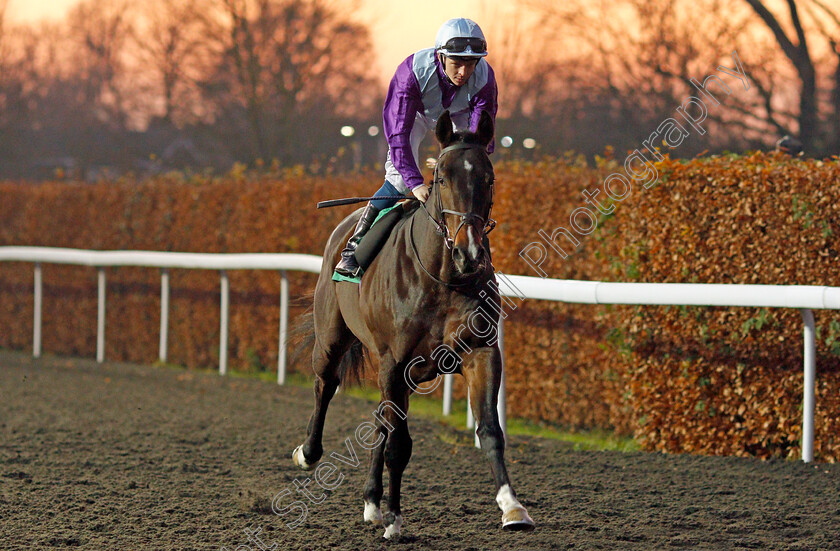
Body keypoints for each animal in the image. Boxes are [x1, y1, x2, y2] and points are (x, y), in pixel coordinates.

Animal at [292, 111, 536, 540]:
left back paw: (372, 501)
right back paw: (309, 454)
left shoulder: (480, 351)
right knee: (326, 384)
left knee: (380, 416)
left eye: (488, 178)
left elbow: (490, 431)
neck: (443, 275)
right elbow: (399, 446)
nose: (469, 252)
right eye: (443, 177)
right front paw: (395, 519)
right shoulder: (394, 360)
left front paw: (512, 507)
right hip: (334, 338)